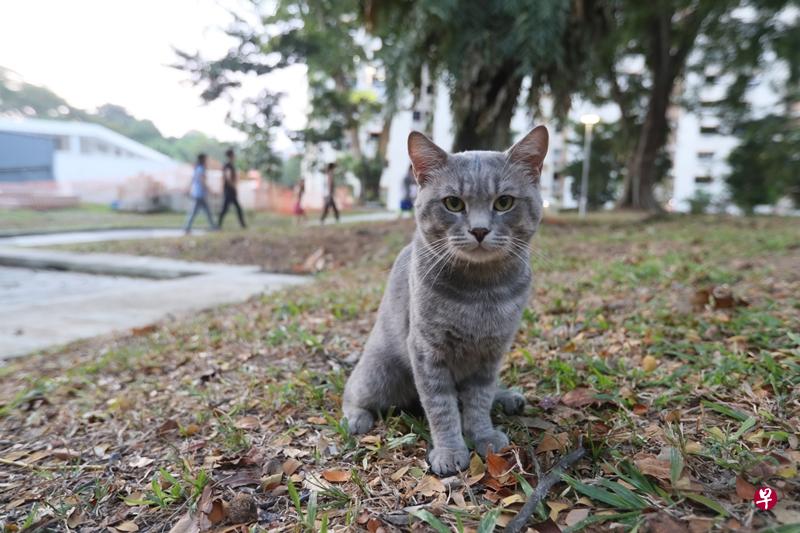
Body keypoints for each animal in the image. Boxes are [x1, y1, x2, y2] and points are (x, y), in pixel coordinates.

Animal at [340, 125, 548, 474]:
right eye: (453, 203)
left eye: (504, 202)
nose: (479, 230)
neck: (481, 293)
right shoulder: (427, 351)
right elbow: (441, 407)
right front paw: (450, 451)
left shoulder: (491, 353)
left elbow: (479, 399)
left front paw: (483, 435)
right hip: (380, 374)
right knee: (352, 391)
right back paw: (356, 417)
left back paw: (506, 397)